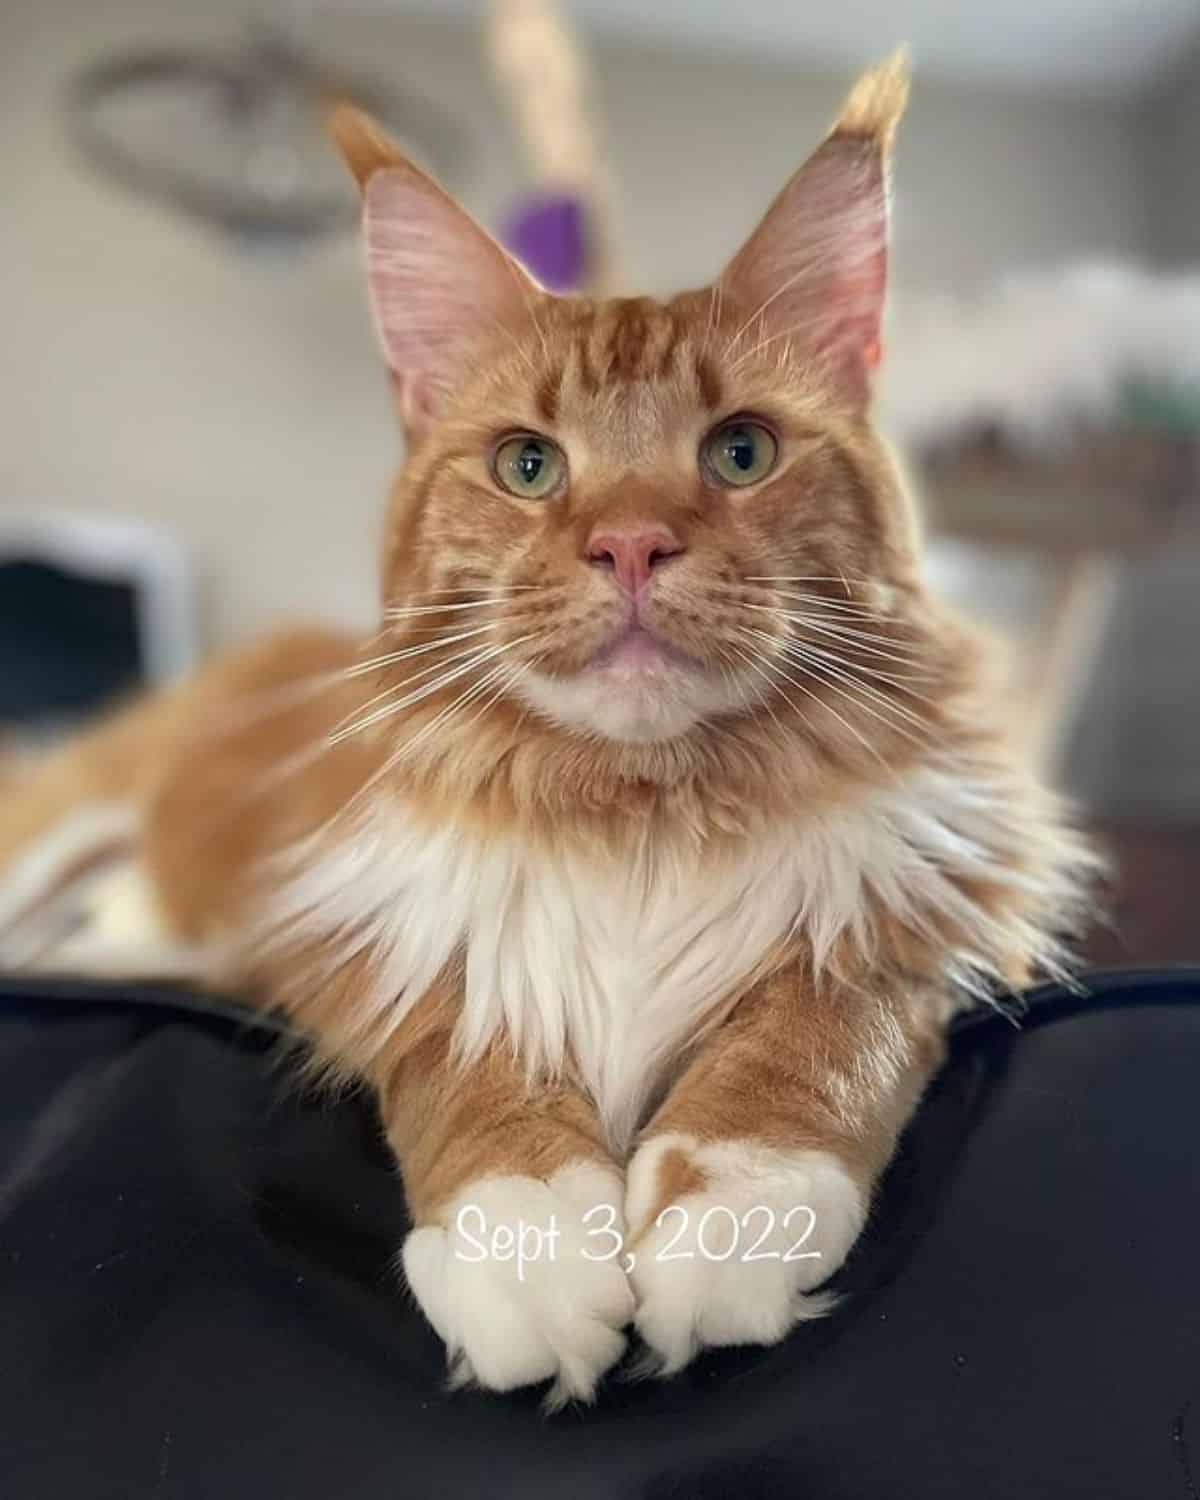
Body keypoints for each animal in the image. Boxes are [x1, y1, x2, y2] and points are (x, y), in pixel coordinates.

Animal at [0, 49, 1092, 1404]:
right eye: (528, 466)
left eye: (741, 453)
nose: (629, 544)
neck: (642, 812)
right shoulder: (372, 923)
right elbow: (466, 1053)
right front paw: (524, 1241)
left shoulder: (939, 903)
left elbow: (821, 1031)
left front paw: (732, 1214)